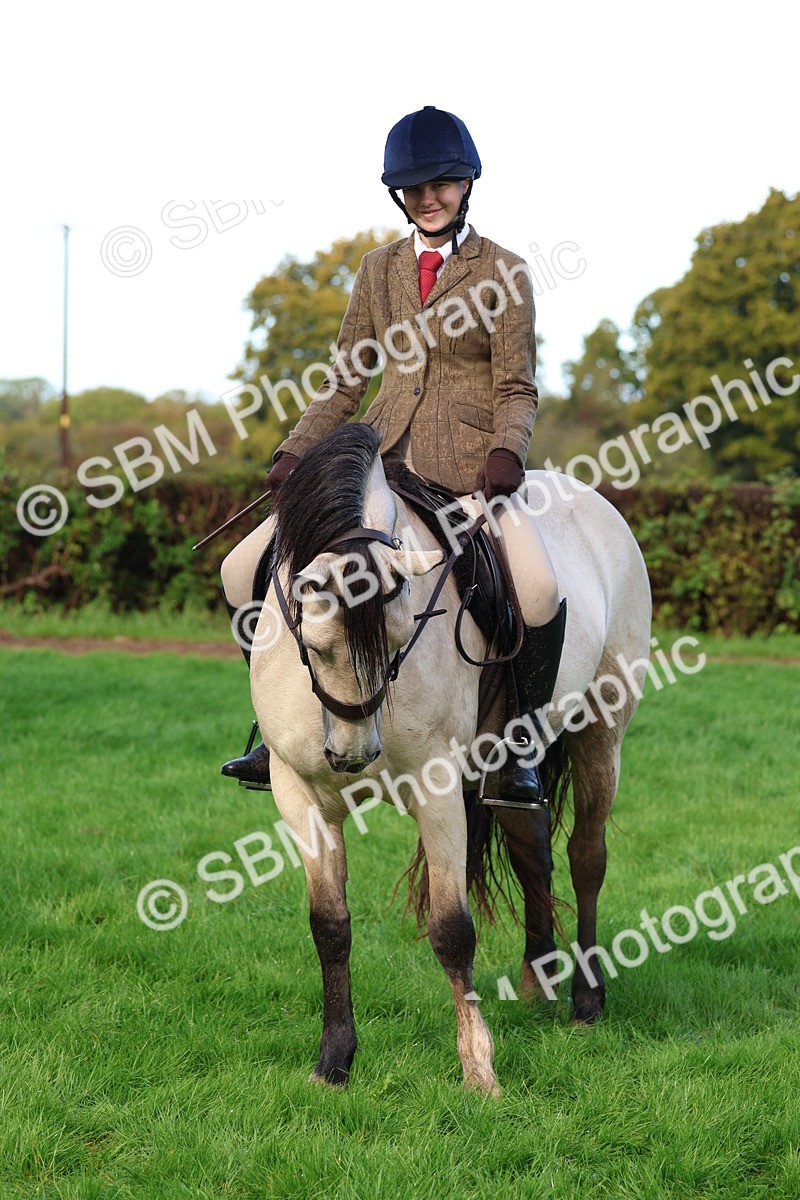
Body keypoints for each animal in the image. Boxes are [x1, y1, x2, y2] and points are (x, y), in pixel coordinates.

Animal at [248, 423, 652, 1095]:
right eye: (316, 642)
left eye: (399, 636)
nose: (354, 757)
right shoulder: (299, 790)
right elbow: (329, 925)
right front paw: (334, 1062)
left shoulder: (436, 787)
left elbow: (452, 929)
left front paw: (479, 1068)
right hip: (510, 754)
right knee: (532, 847)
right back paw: (538, 978)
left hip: (601, 729)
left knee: (585, 857)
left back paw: (587, 1000)